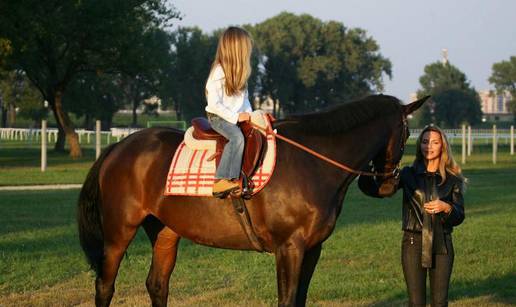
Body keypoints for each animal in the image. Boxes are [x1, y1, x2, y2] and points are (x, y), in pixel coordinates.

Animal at [77, 95, 428, 306]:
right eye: (407, 134)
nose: (384, 185)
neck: (313, 160)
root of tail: (118, 148)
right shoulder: (290, 248)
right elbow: (287, 300)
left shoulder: (312, 249)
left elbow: (300, 299)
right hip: (119, 233)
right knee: (105, 286)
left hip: (165, 231)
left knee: (157, 284)